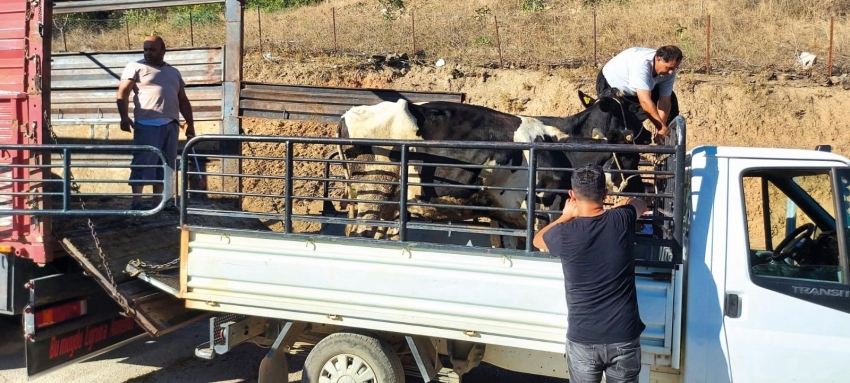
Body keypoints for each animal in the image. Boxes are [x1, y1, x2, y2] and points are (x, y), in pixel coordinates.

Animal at [334, 92, 640, 249]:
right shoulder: (545, 211)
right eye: (630, 156)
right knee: (363, 232)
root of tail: (346, 114)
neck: (559, 150)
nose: (641, 187)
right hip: (374, 189)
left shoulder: (507, 215)